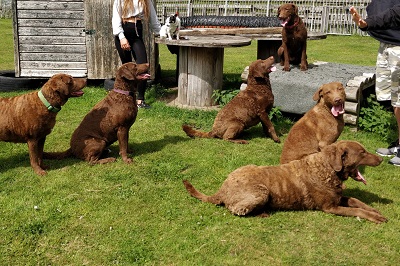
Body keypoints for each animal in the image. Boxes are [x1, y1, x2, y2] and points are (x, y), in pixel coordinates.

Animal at [183, 140, 386, 223]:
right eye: (362, 152)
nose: (381, 160)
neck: (328, 168)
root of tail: (222, 188)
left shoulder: (337, 197)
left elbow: (356, 201)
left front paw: (375, 210)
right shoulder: (330, 207)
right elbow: (357, 210)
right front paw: (376, 217)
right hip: (261, 192)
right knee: (236, 208)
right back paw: (261, 213)